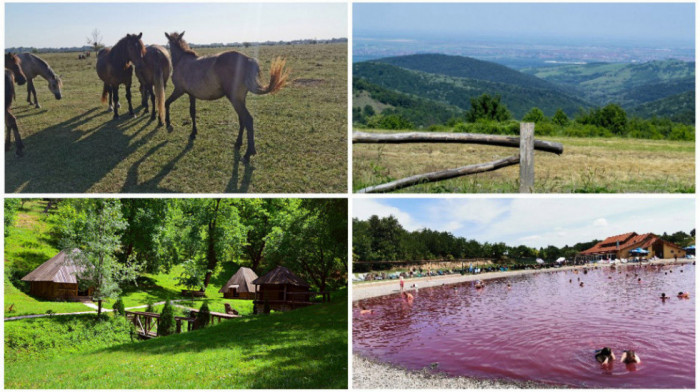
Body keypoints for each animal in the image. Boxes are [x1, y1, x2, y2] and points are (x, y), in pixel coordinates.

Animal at [165, 31, 290, 164]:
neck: (182, 61)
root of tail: (248, 60)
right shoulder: (191, 94)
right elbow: (192, 112)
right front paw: (193, 133)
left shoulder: (179, 90)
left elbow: (166, 103)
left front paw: (168, 124)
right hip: (240, 99)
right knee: (242, 119)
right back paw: (238, 143)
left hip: (235, 99)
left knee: (248, 119)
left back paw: (248, 153)